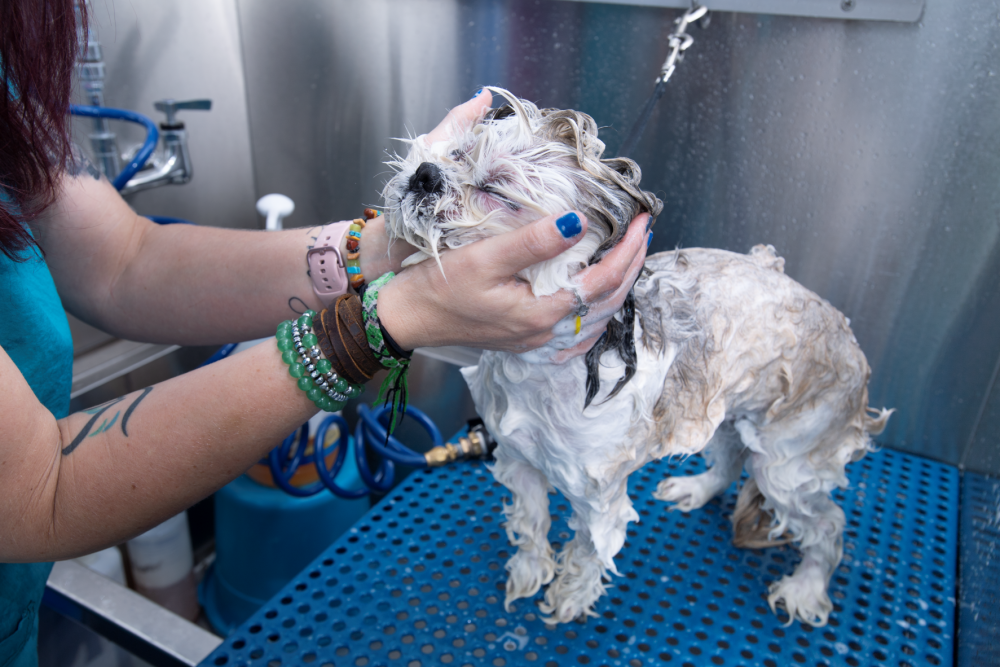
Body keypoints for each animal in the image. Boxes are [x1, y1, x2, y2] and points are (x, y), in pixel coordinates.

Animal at [378, 87, 888, 628]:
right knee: (731, 459)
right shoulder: (518, 460)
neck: (536, 371)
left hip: (789, 458)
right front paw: (529, 573)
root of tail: (845, 332)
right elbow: (531, 524)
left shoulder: (596, 497)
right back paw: (697, 488)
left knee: (828, 523)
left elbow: (586, 553)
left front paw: (570, 598)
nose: (425, 173)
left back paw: (807, 587)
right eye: (456, 153)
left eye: (498, 188)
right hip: (725, 411)